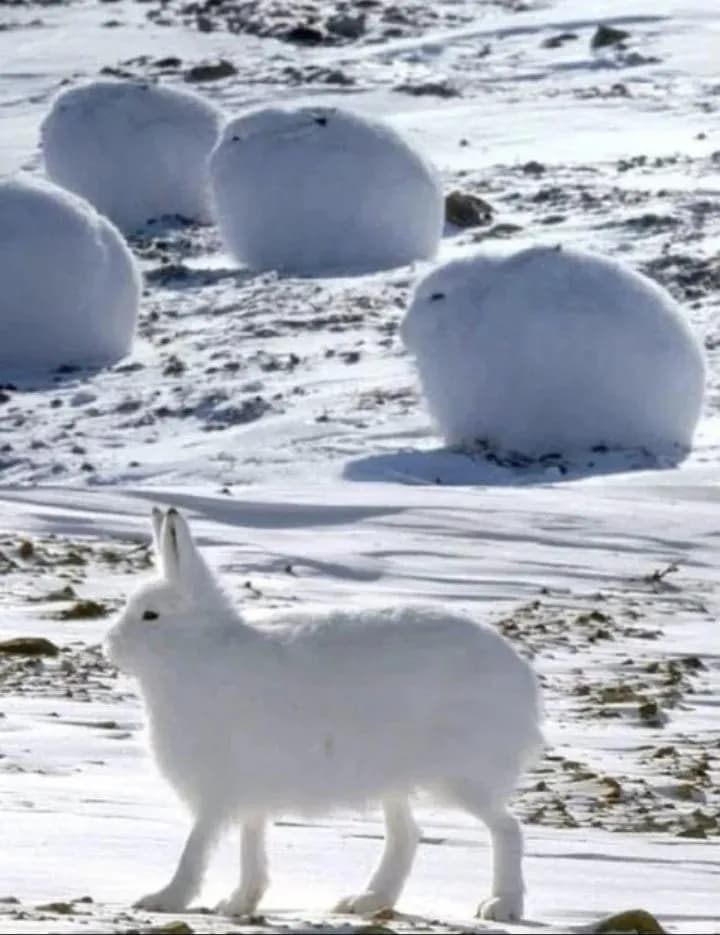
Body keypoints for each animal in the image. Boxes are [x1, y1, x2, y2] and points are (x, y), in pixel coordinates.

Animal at [104, 506, 543, 922]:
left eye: (150, 615)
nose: (110, 645)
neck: (198, 649)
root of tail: (521, 678)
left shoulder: (219, 788)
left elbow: (196, 846)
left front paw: (163, 899)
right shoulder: (249, 795)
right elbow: (251, 845)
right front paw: (239, 903)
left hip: (458, 775)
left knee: (507, 828)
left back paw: (502, 905)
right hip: (394, 781)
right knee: (406, 835)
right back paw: (365, 901)